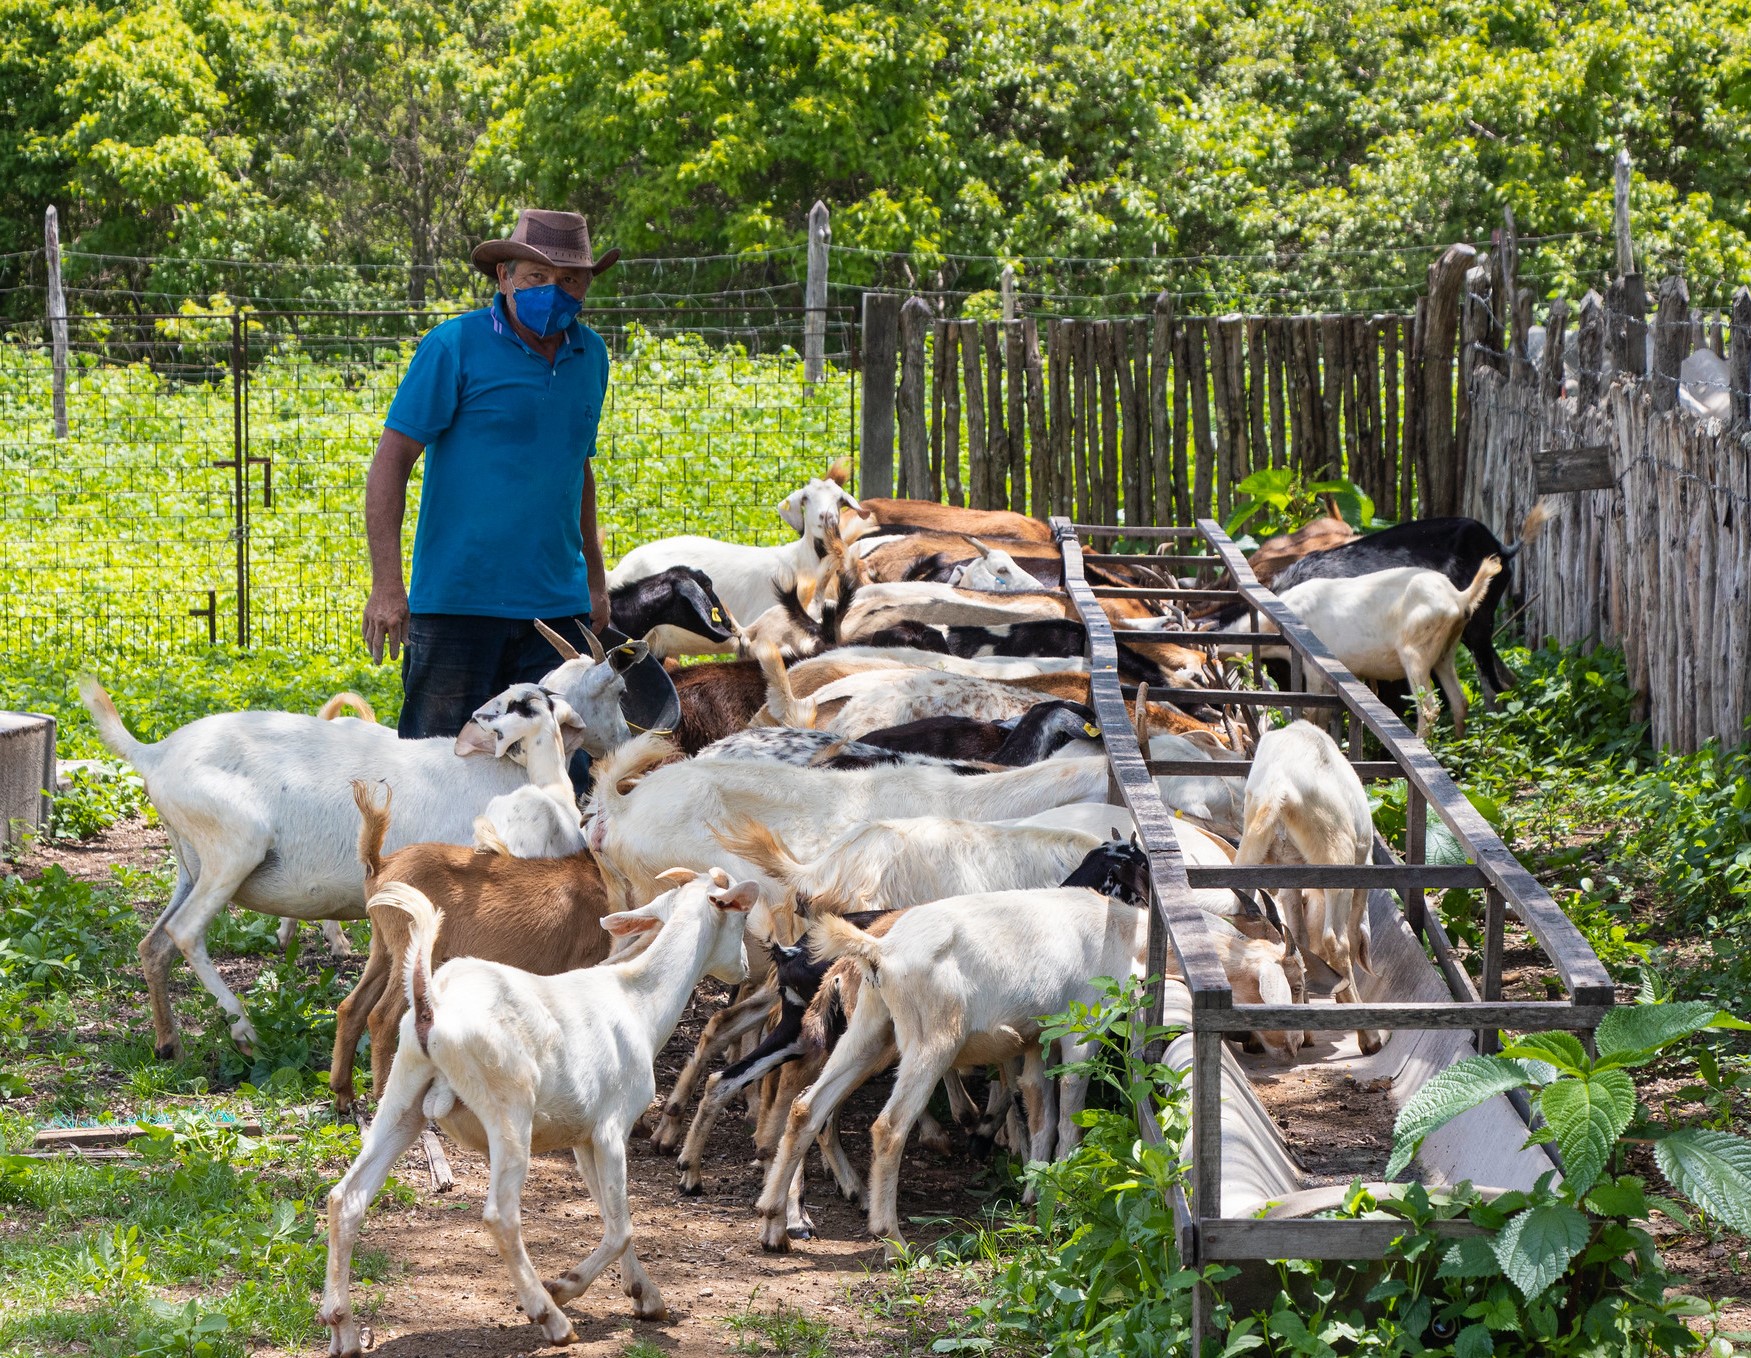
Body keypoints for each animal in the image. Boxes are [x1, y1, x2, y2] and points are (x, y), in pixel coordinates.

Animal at [77, 630, 637, 1057]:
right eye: (616, 690)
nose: (626, 741)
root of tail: (154, 753)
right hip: (231, 852)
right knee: (186, 933)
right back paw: (243, 1028)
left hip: (188, 864)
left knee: (154, 944)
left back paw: (169, 1044)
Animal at [320, 864, 752, 1351]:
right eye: (741, 917)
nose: (745, 966)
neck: (637, 1003)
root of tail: (433, 1001)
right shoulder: (612, 1127)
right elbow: (621, 1227)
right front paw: (565, 1286)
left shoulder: (583, 1138)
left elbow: (611, 1214)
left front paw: (647, 1295)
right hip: (509, 1109)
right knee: (501, 1215)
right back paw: (551, 1317)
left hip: (404, 1095)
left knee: (347, 1198)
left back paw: (342, 1328)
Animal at [330, 784, 619, 1113]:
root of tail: (379, 864)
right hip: (414, 951)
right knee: (382, 1017)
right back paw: (383, 1095)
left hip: (383, 947)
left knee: (351, 1007)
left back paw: (343, 1094)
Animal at [1232, 721, 1379, 1050]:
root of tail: (1278, 788)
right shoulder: (1360, 866)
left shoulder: (1289, 878)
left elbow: (1297, 935)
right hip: (1336, 856)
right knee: (1336, 941)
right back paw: (1370, 1036)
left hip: (1251, 849)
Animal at [1274, 556, 1505, 738]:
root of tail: (1459, 597)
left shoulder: (1313, 665)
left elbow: (1312, 710)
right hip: (1445, 652)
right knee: (1460, 702)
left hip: (1415, 651)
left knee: (1429, 708)